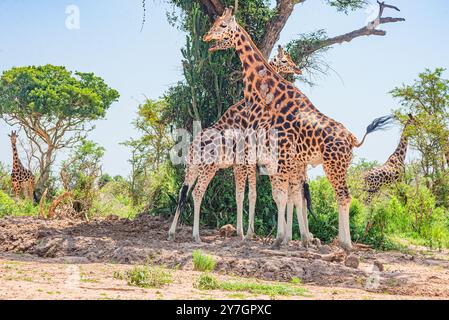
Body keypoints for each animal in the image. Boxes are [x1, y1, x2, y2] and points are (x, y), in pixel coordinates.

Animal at [167, 44, 300, 242]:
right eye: (285, 60)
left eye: (291, 58)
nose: (297, 69)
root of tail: (191, 148)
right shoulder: (247, 162)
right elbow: (251, 195)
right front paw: (248, 233)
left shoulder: (239, 165)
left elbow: (239, 195)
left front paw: (240, 231)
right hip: (208, 167)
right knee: (197, 193)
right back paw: (196, 236)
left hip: (192, 167)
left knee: (182, 192)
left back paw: (171, 232)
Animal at [203, 6, 392, 249]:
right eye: (216, 22)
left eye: (223, 25)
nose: (207, 37)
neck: (262, 96)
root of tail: (352, 138)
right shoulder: (276, 159)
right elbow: (283, 196)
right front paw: (289, 237)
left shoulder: (276, 157)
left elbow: (280, 196)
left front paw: (280, 238)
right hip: (333, 165)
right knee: (334, 195)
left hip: (333, 164)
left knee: (343, 196)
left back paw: (345, 244)